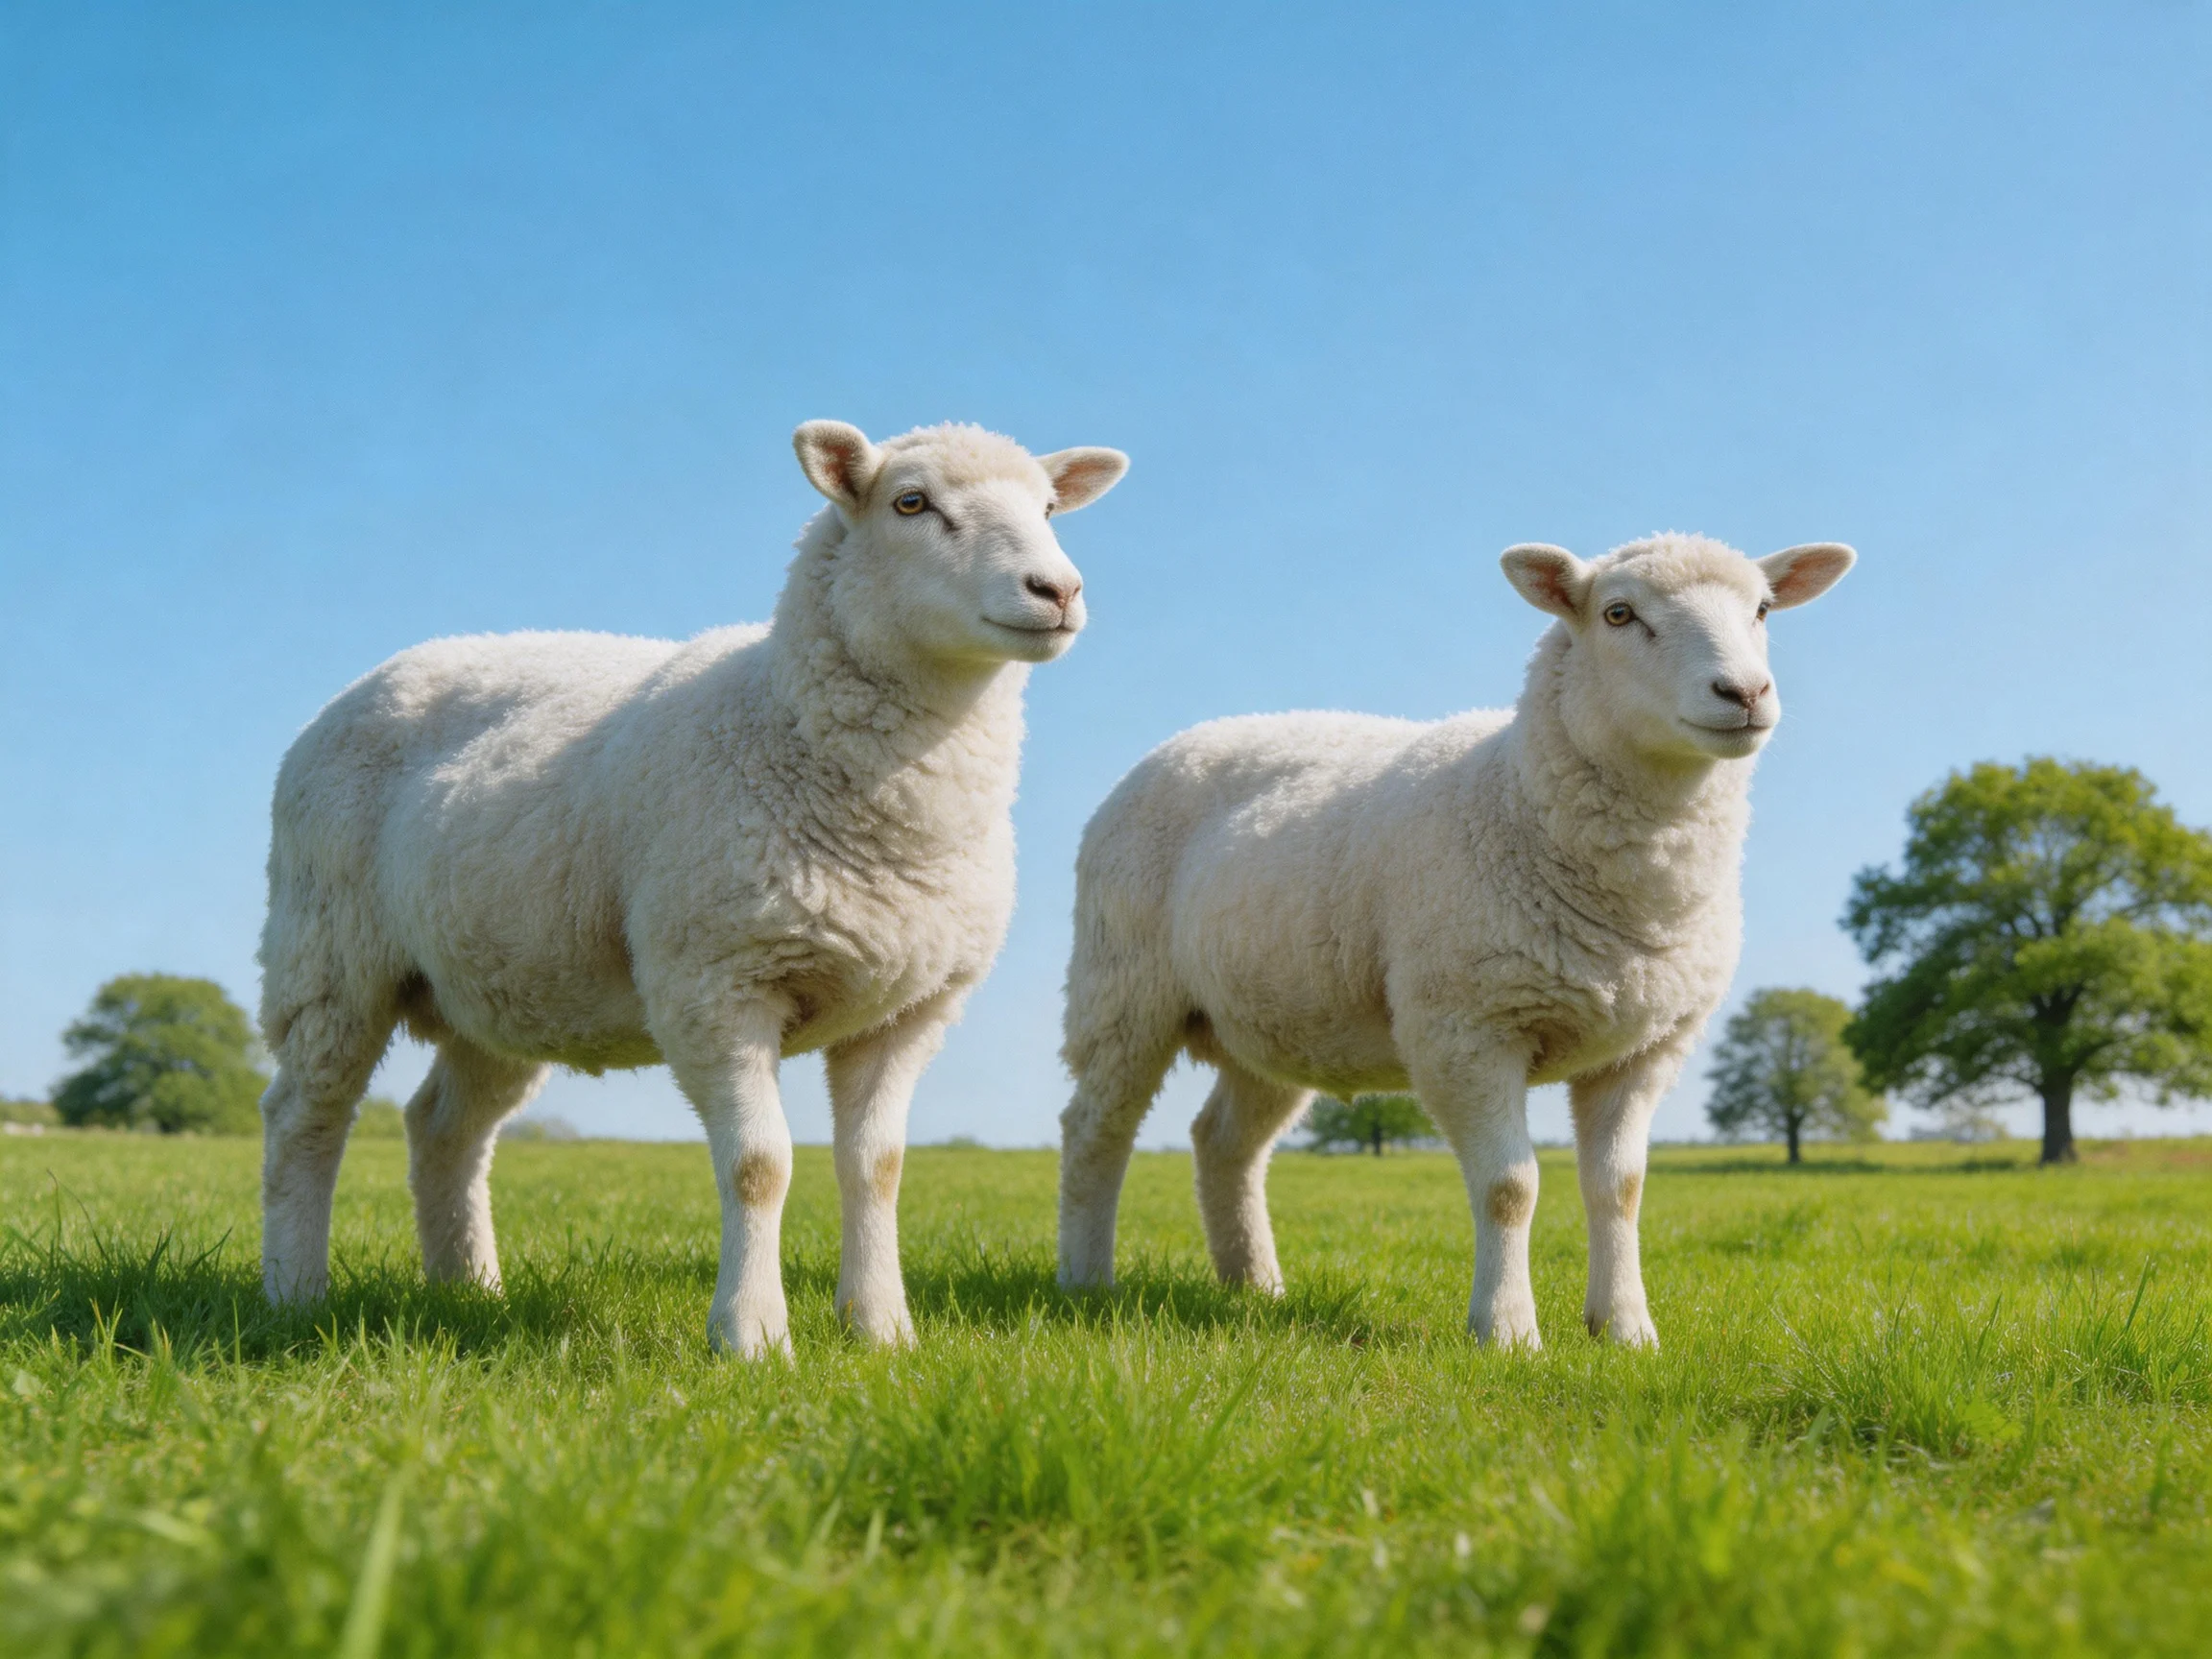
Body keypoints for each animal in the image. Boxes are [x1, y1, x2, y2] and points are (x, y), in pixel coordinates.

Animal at [257, 420, 1128, 1356]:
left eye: (1049, 508)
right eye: (911, 503)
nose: (1058, 589)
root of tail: (373, 678)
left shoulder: (909, 1008)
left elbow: (879, 1168)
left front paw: (882, 1329)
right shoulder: (716, 981)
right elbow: (759, 1165)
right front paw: (752, 1335)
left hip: (497, 981)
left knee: (444, 1127)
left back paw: (468, 1289)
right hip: (327, 952)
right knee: (303, 1116)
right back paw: (294, 1291)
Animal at [1056, 533, 1853, 1348]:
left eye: (1762, 609)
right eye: (1618, 614)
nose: (1745, 693)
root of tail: (1185, 739)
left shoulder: (1645, 1047)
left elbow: (1620, 1189)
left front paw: (1626, 1329)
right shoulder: (1465, 1027)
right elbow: (1509, 1187)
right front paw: (1506, 1331)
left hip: (1275, 1016)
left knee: (1224, 1141)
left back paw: (1255, 1285)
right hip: (1121, 988)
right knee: (1094, 1130)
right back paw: (1086, 1279)